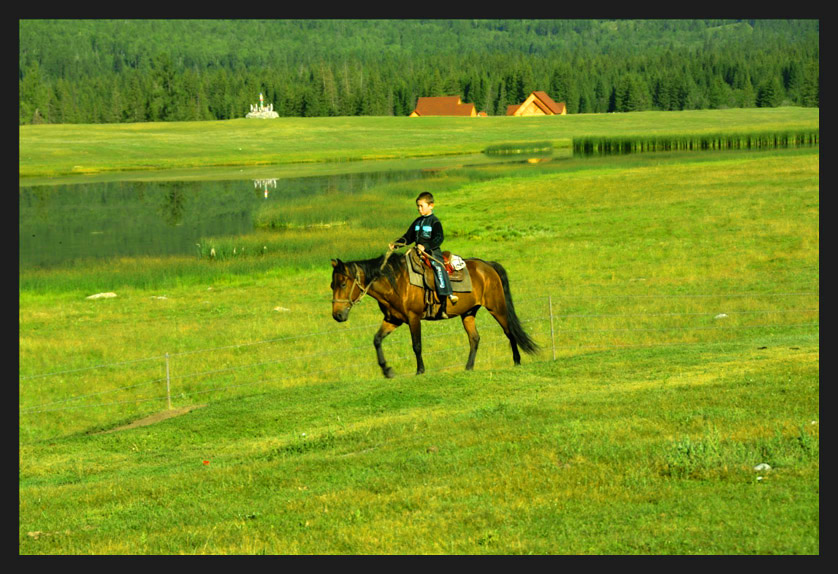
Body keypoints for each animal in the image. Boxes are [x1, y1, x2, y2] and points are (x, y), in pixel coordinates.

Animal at [330, 251, 540, 378]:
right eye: (332, 285)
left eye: (343, 284)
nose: (337, 315)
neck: (395, 282)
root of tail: (487, 265)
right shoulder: (393, 319)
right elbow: (377, 340)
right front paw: (387, 370)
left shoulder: (413, 318)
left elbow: (416, 345)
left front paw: (420, 370)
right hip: (468, 313)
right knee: (474, 338)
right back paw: (468, 367)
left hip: (497, 308)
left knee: (509, 332)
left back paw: (517, 361)